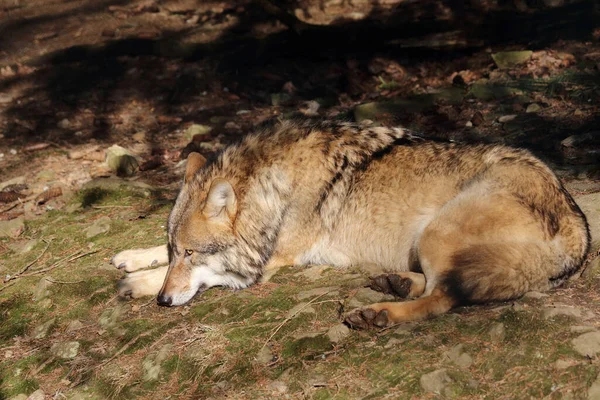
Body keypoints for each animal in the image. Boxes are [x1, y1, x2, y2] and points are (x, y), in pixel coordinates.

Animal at [112, 119, 592, 328]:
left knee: (444, 298)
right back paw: (394, 283)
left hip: (437, 229)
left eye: (193, 254)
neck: (274, 185)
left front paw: (141, 285)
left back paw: (381, 313)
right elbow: (151, 253)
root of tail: (577, 226)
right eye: (178, 250)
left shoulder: (271, 261)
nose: (164, 302)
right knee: (437, 285)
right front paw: (134, 257)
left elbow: (216, 276)